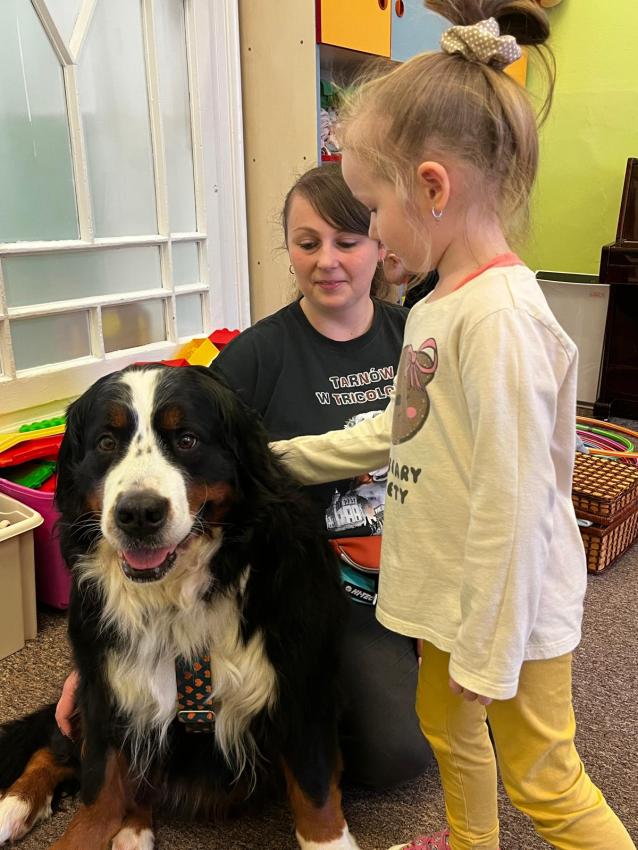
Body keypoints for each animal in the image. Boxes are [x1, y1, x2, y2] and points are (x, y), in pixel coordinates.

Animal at [0, 364, 361, 850]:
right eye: (106, 442)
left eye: (187, 439)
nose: (138, 513)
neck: (177, 597)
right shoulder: (105, 685)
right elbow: (98, 789)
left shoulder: (303, 686)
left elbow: (315, 791)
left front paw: (329, 840)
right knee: (59, 750)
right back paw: (15, 806)